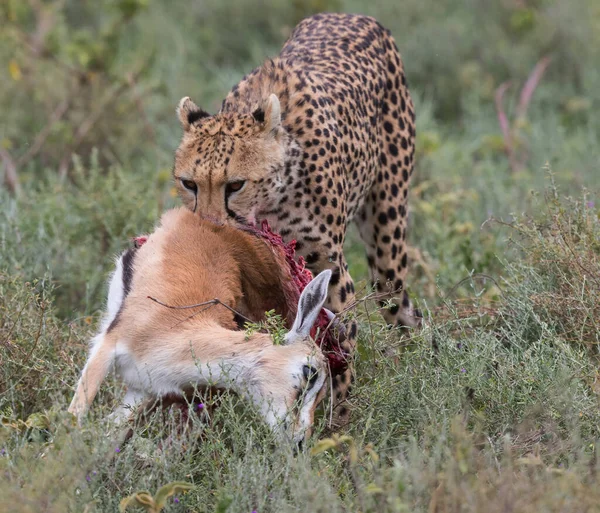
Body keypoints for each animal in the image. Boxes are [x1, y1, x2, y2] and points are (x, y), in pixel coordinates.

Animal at [171, 13, 420, 428]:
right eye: (189, 184)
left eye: (235, 184)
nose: (208, 226)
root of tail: (353, 15)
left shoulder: (329, 272)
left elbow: (339, 343)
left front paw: (337, 428)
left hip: (387, 235)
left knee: (399, 305)